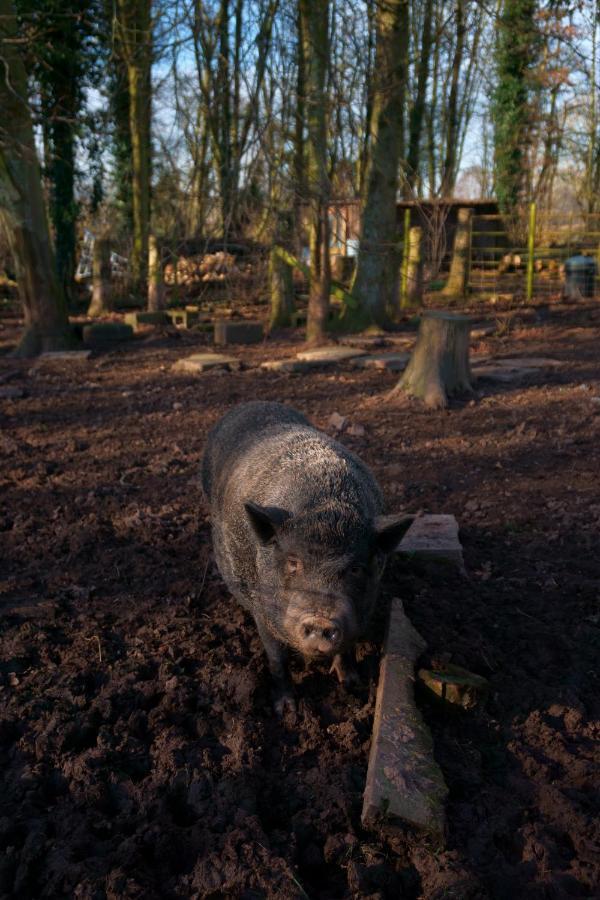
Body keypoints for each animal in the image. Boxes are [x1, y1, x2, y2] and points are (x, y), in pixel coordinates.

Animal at [202, 404, 412, 712]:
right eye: (293, 563)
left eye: (356, 568)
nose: (321, 620)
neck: (326, 507)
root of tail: (250, 404)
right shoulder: (262, 606)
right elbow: (276, 655)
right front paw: (286, 709)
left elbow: (347, 646)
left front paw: (351, 684)